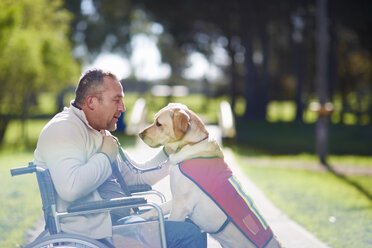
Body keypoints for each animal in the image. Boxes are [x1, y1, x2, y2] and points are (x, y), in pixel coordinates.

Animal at [140, 103, 282, 248]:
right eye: (154, 120)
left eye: (159, 123)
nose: (140, 134)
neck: (191, 144)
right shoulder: (176, 200)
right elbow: (154, 210)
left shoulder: (181, 205)